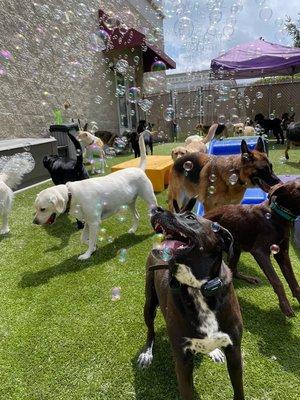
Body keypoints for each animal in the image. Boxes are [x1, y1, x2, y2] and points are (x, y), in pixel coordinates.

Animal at [138, 199, 244, 400]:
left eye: (190, 217)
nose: (156, 209)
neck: (198, 287)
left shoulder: (234, 352)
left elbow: (239, 390)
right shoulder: (183, 360)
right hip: (149, 304)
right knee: (150, 331)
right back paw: (147, 353)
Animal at [205, 180, 300, 318]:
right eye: (299, 188)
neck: (277, 215)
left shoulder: (282, 253)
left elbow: (293, 280)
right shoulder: (260, 252)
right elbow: (277, 281)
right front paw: (285, 306)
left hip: (236, 247)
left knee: (233, 270)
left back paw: (248, 279)